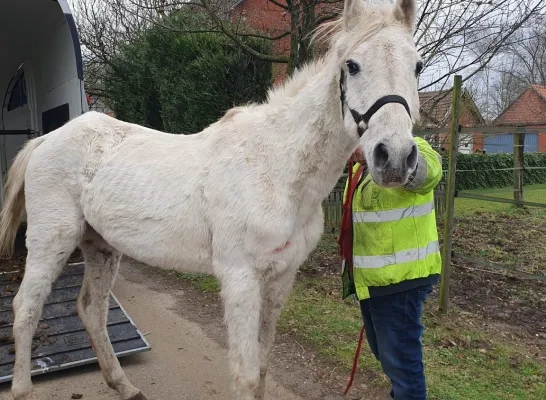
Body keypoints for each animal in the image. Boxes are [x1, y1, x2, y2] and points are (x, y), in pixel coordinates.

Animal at [1, 1, 420, 398]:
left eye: (416, 66)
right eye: (352, 65)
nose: (395, 158)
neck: (275, 166)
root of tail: (47, 139)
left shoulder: (280, 279)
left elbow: (262, 367)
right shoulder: (240, 279)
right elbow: (246, 376)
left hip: (100, 245)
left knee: (91, 309)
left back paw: (123, 385)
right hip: (52, 240)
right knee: (26, 308)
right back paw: (22, 389)